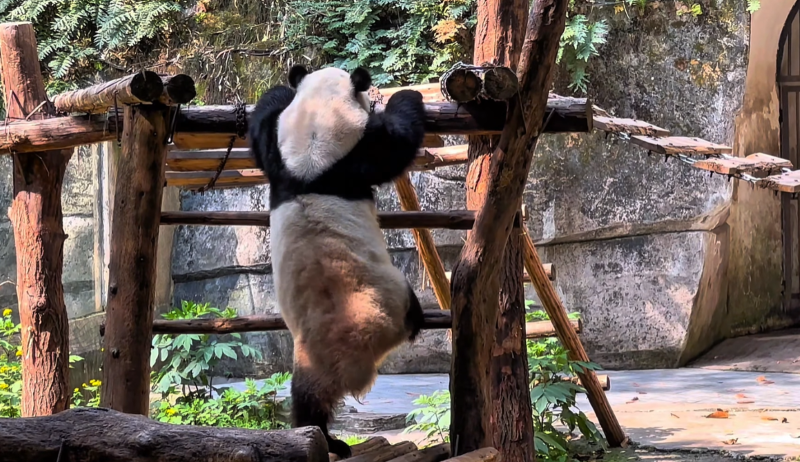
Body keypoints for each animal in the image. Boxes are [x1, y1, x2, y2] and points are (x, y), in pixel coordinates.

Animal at [248, 64, 428, 459]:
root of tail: (351, 364)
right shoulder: (355, 155)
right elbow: (396, 144)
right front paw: (407, 96)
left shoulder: (280, 157)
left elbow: (261, 131)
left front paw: (276, 93)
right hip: (390, 295)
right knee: (409, 311)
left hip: (306, 356)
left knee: (306, 402)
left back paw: (325, 440)